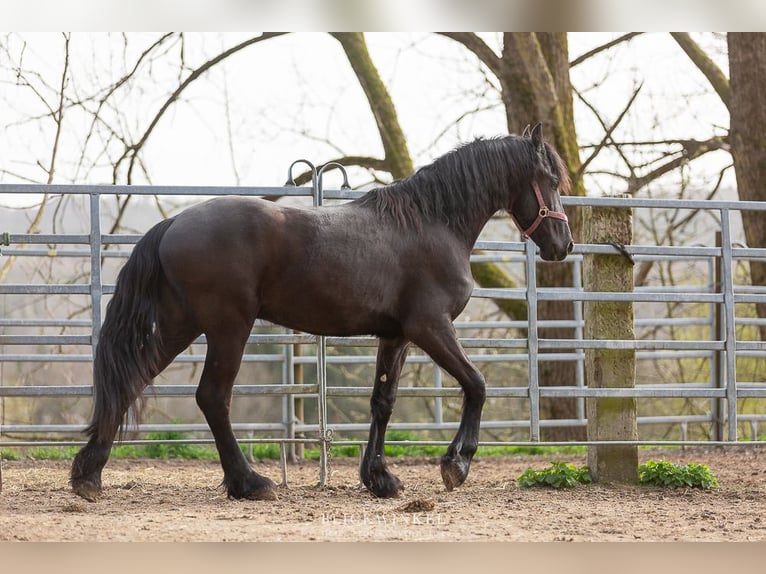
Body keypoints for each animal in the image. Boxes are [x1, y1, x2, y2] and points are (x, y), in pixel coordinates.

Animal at [72, 124, 572, 502]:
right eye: (549, 179)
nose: (563, 245)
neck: (430, 223)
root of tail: (174, 222)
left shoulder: (396, 336)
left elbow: (383, 402)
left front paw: (379, 478)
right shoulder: (431, 327)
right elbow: (477, 384)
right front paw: (456, 464)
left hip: (182, 325)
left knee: (132, 380)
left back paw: (88, 474)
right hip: (228, 328)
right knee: (212, 397)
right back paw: (249, 482)